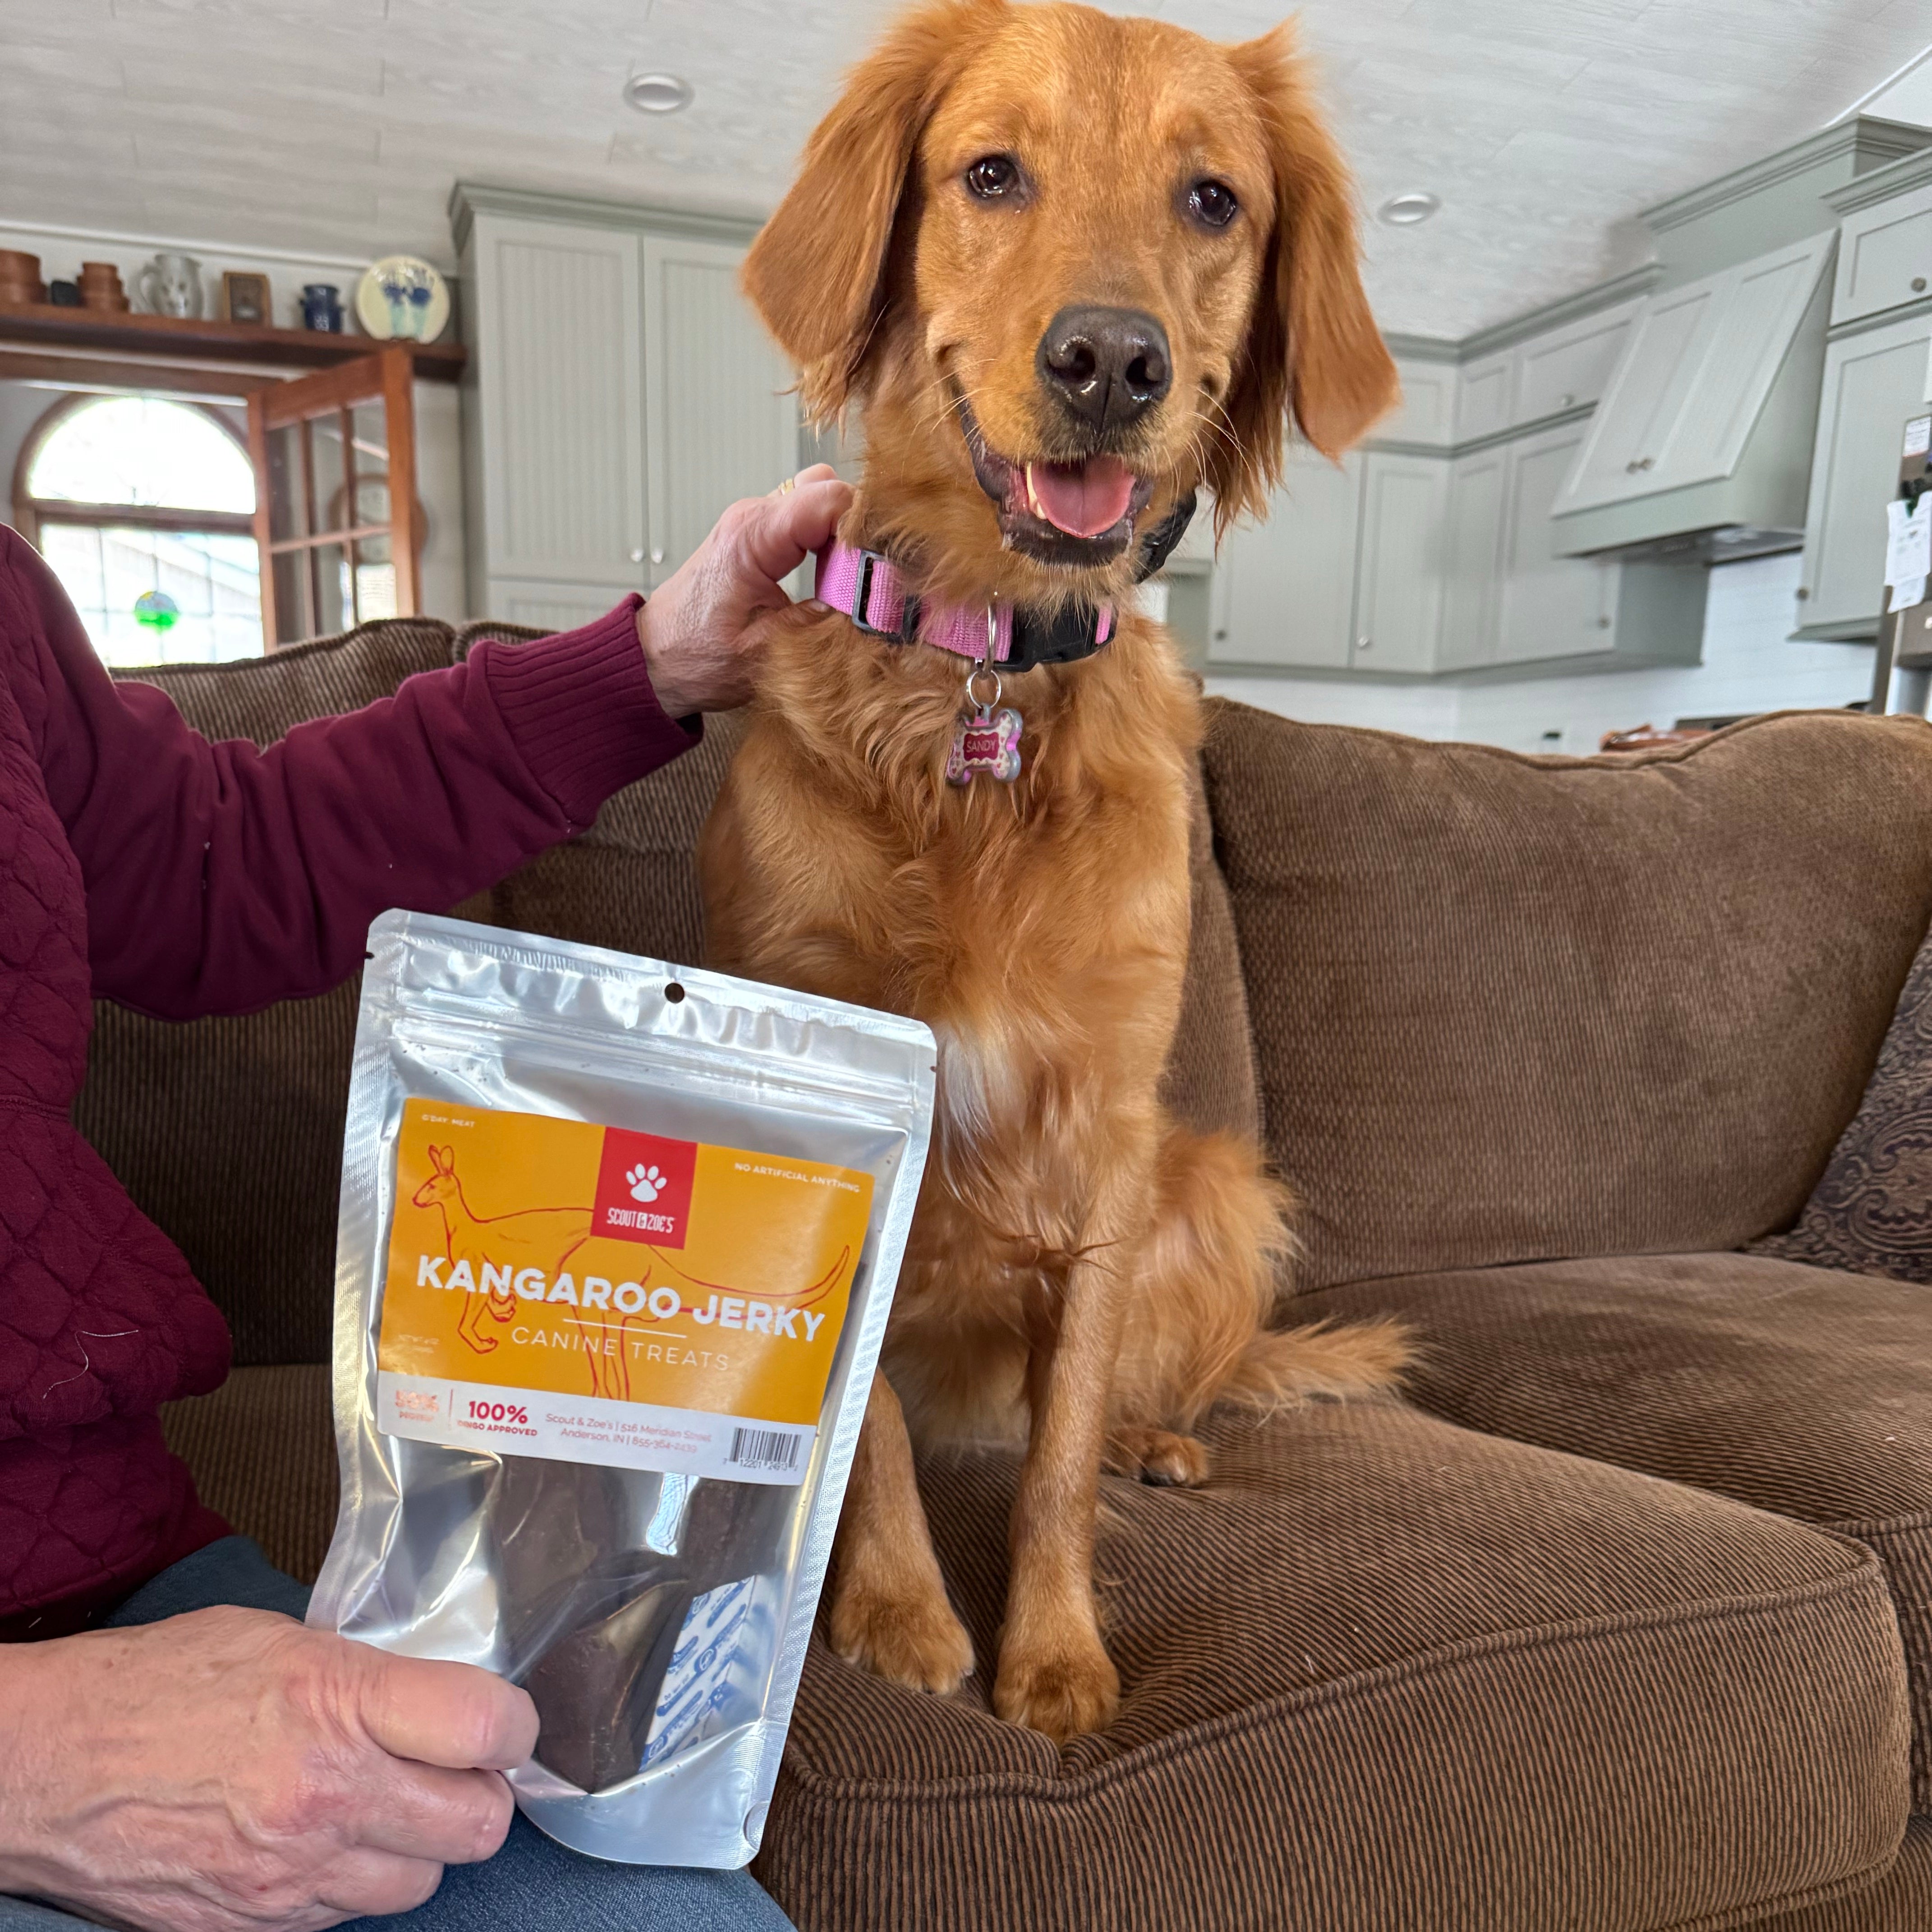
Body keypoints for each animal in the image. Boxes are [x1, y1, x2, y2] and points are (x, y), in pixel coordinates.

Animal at [703, 0, 1414, 1754]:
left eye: (1213, 200)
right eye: (990, 173)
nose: (1110, 362)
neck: (986, 677)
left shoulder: (1105, 1133)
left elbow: (1058, 1455)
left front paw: (1057, 1652)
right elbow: (878, 1426)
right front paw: (897, 1613)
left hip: (1214, 1179)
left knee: (1126, 1399)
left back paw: (1158, 1440)